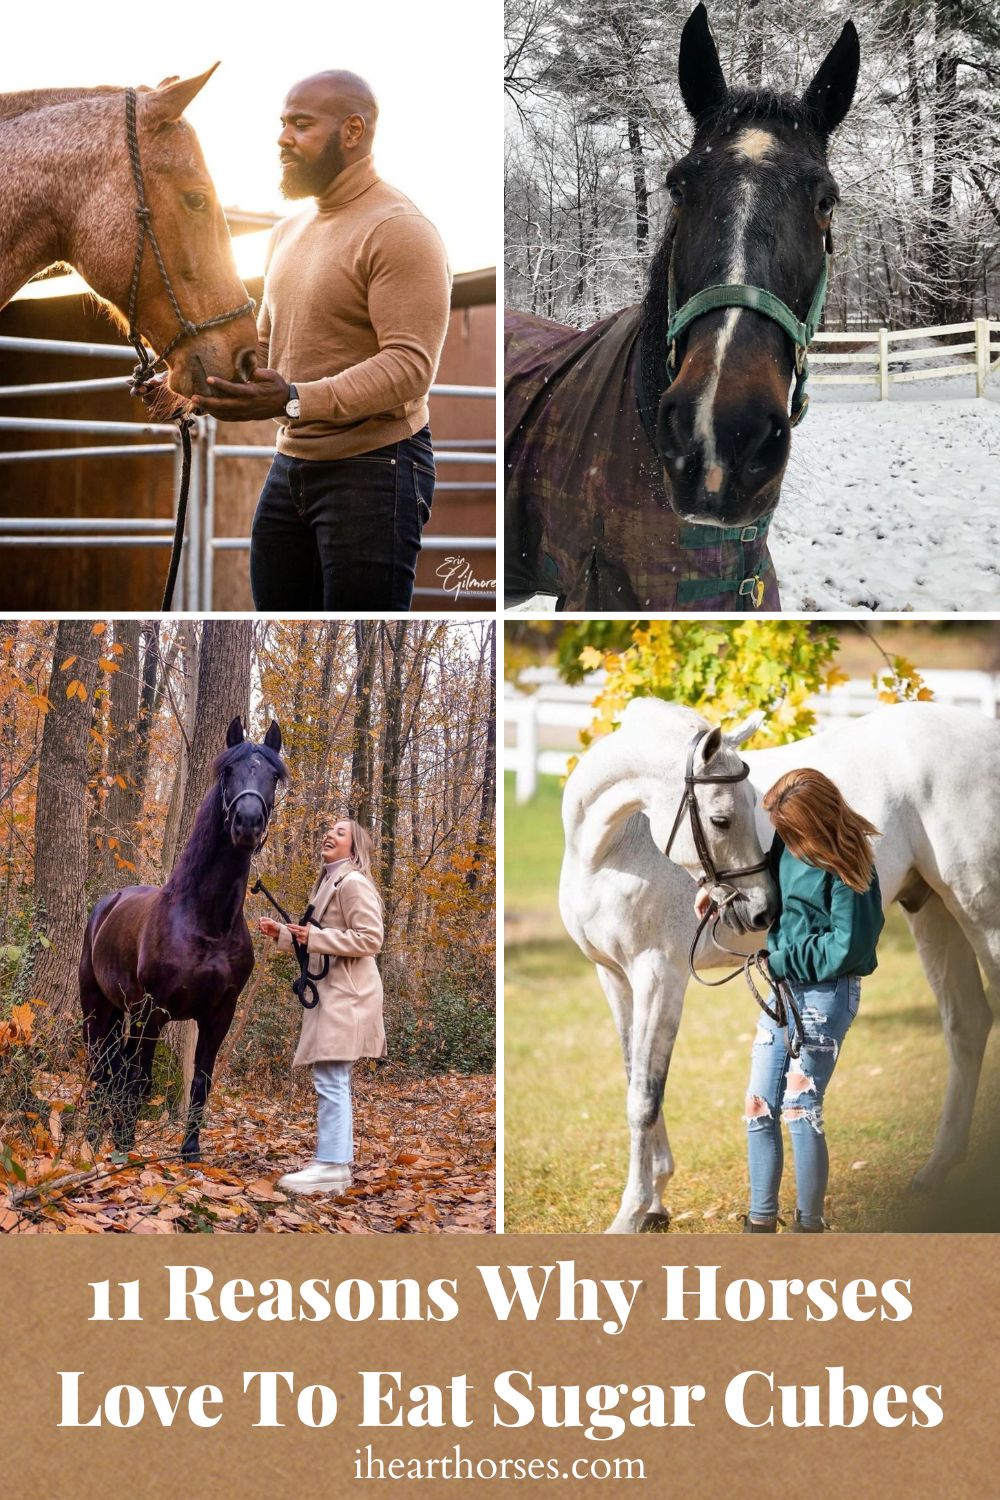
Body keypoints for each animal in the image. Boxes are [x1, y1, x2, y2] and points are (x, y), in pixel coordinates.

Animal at [79, 717, 286, 1161]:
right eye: (228, 771)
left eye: (273, 775)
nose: (247, 822)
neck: (205, 923)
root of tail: (108, 902)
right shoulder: (153, 1011)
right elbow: (139, 1080)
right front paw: (125, 1149)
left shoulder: (220, 1014)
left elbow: (201, 1079)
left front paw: (189, 1148)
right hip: (97, 1004)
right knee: (99, 1067)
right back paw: (90, 1140)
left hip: (122, 1011)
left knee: (112, 1069)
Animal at [560, 699, 997, 1232]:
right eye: (722, 819)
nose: (763, 911)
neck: (612, 850)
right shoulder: (615, 977)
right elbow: (637, 1079)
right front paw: (655, 1206)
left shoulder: (659, 976)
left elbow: (644, 1096)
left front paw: (629, 1214)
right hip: (933, 910)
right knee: (966, 1024)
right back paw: (936, 1170)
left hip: (980, 910)